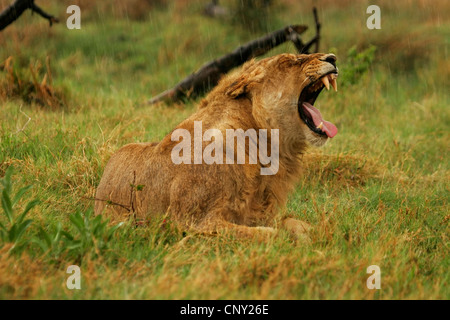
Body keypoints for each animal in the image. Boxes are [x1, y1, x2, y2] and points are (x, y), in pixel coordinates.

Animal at [96, 52, 340, 239]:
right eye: (289, 62)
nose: (333, 57)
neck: (264, 146)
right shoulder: (192, 222)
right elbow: (272, 235)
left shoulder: (258, 214)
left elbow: (296, 223)